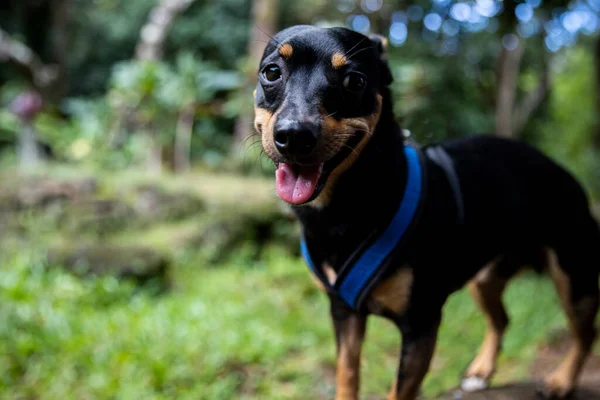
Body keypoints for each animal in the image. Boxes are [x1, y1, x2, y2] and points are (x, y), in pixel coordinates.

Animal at [251, 25, 596, 400]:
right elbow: (347, 375)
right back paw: (482, 370)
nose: (294, 135)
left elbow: (398, 391)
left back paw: (562, 381)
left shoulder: (421, 325)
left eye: (354, 81)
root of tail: (560, 170)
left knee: (585, 331)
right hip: (485, 278)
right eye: (272, 72)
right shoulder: (344, 311)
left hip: (572, 274)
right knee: (503, 318)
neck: (350, 204)